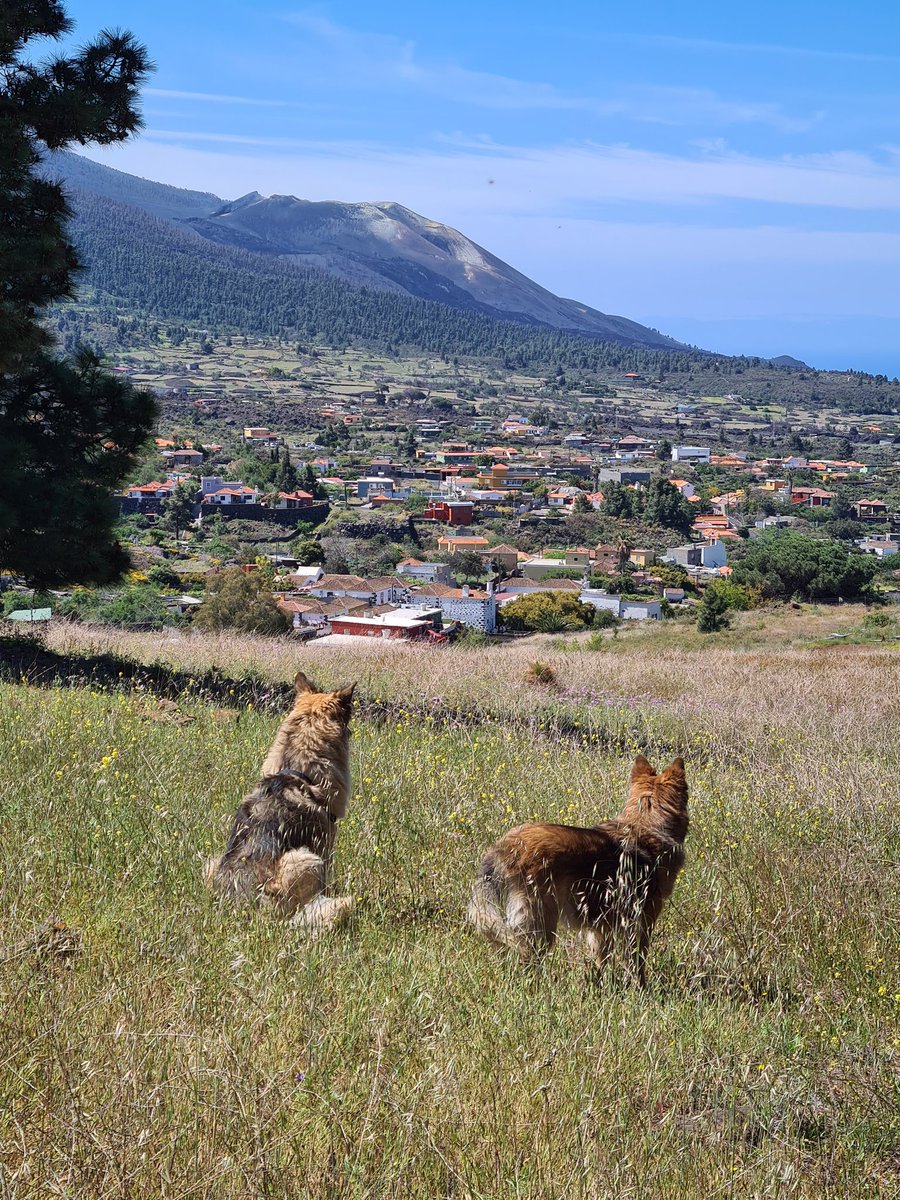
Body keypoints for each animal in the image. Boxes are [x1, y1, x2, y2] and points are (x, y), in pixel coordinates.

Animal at [465, 753, 691, 988]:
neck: (646, 825)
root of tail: (505, 846)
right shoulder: (642, 922)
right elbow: (637, 962)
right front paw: (640, 988)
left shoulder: (601, 929)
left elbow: (601, 961)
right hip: (540, 925)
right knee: (526, 960)